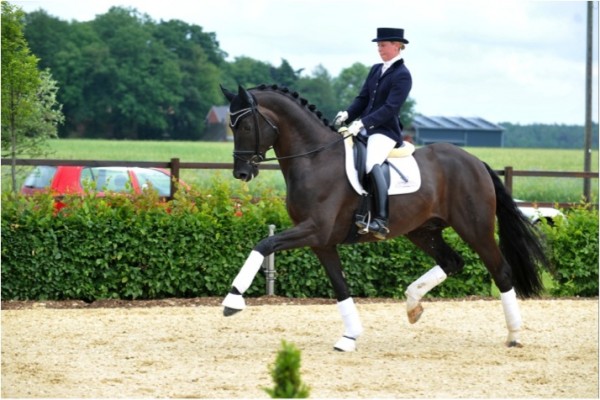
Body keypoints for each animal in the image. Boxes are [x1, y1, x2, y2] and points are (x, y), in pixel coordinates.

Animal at [220, 83, 548, 350]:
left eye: (245, 126)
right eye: (231, 127)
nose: (241, 173)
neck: (314, 159)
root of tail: (475, 162)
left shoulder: (314, 229)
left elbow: (264, 245)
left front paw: (232, 300)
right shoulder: (321, 241)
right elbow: (340, 286)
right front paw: (349, 337)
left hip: (475, 228)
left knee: (501, 271)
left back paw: (514, 335)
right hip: (423, 231)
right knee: (451, 262)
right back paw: (413, 305)